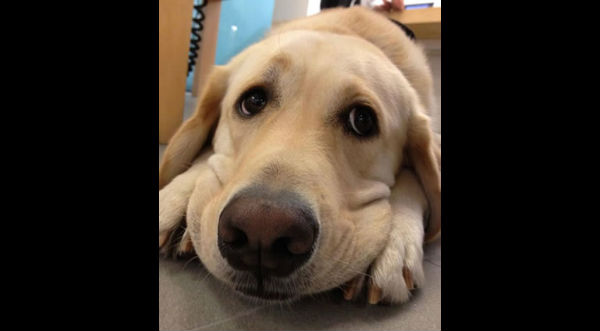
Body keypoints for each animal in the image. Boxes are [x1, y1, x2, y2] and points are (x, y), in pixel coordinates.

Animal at [159, 5, 440, 306]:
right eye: (253, 101)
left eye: (362, 120)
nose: (262, 230)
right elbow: (207, 157)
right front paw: (176, 197)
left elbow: (413, 178)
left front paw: (396, 239)